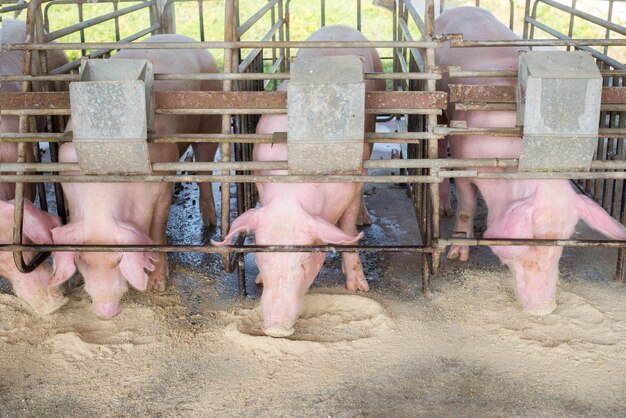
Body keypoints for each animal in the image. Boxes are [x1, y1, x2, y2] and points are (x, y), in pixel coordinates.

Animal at [50, 36, 222, 316]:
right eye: (82, 261)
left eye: (120, 258)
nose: (105, 309)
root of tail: (186, 39)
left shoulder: (161, 184)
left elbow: (157, 232)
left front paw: (158, 286)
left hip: (210, 120)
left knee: (205, 165)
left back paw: (209, 221)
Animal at [212, 25, 382, 336]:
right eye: (261, 258)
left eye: (305, 263)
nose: (277, 328)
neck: (292, 193)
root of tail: (339, 27)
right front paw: (257, 282)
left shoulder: (351, 186)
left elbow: (348, 230)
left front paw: (359, 287)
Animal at [434, 7, 624, 314]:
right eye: (527, 241)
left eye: (561, 243)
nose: (545, 308)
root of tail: (459, 8)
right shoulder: (465, 162)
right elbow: (467, 205)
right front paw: (457, 255)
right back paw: (443, 209)